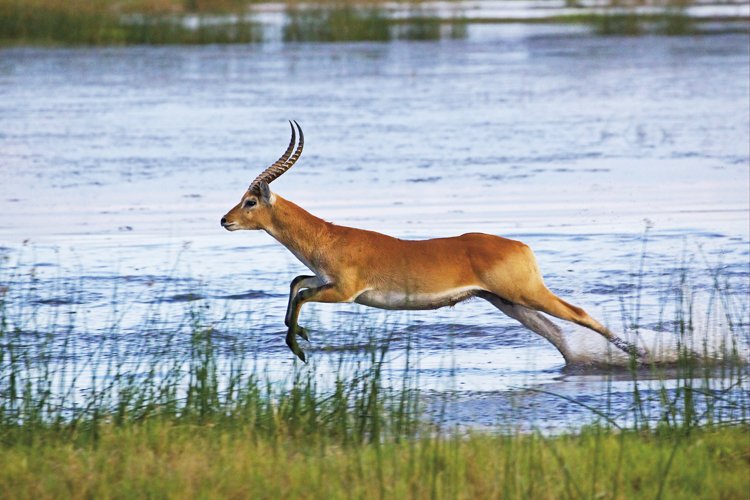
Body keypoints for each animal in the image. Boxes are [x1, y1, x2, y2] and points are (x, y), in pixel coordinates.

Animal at [222, 121, 648, 364]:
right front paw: (299, 336)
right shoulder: (325, 280)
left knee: (578, 314)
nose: (225, 220)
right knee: (555, 333)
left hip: (524, 294)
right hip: (506, 302)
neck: (329, 236)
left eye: (250, 201)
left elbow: (303, 296)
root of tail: (520, 246)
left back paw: (643, 355)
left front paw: (299, 345)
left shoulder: (344, 292)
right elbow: (296, 284)